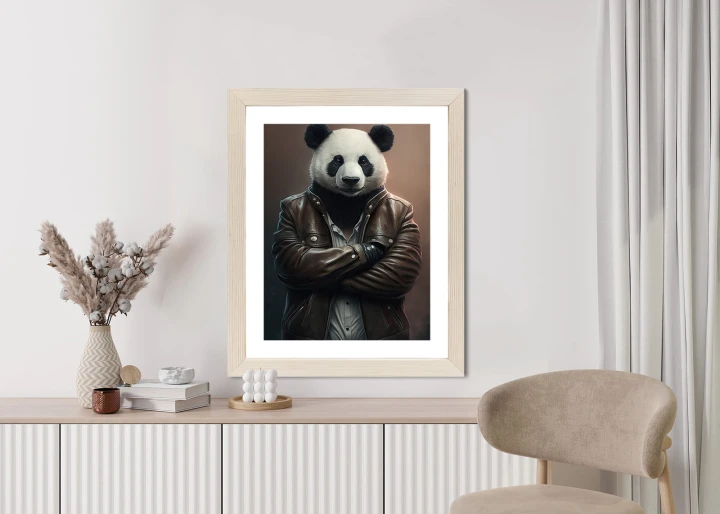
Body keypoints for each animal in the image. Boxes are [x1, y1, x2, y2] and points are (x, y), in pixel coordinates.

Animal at [271, 124, 422, 340]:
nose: (351, 180)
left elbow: (402, 264)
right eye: (337, 160)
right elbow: (294, 259)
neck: (347, 201)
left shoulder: (407, 215)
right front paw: (370, 251)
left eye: (363, 161)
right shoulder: (287, 213)